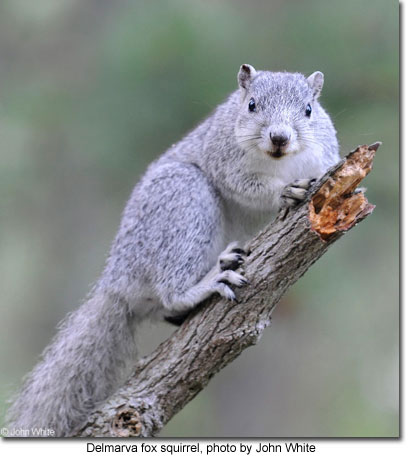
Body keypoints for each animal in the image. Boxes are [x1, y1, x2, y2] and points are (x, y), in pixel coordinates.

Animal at [5, 64, 340, 436]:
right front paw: (284, 191)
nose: (279, 137)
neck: (280, 162)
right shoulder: (222, 154)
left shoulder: (324, 152)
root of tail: (116, 281)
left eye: (309, 110)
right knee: (170, 292)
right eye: (252, 105)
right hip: (185, 198)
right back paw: (208, 281)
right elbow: (245, 185)